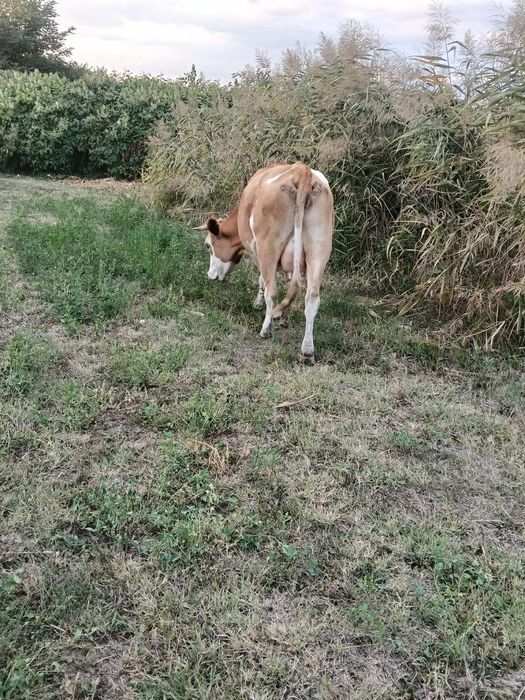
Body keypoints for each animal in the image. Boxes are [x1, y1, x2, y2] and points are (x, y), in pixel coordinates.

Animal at [194, 162, 333, 364]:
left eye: (208, 246)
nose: (209, 275)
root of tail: (302, 171)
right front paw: (278, 315)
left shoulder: (256, 250)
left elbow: (262, 280)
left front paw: (259, 305)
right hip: (319, 249)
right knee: (312, 298)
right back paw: (307, 351)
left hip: (269, 246)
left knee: (273, 292)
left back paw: (265, 329)